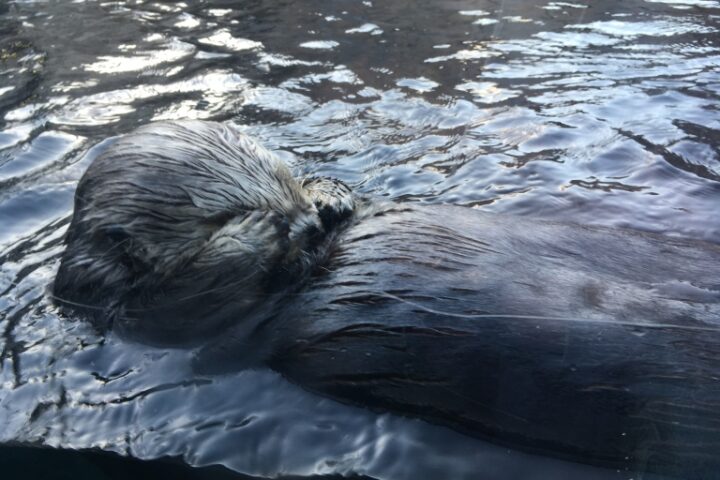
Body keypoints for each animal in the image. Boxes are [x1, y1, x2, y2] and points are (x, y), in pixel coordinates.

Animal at [54, 120, 720, 478]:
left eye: (286, 176)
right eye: (223, 214)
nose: (304, 218)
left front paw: (329, 197)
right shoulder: (153, 314)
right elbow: (195, 292)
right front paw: (272, 231)